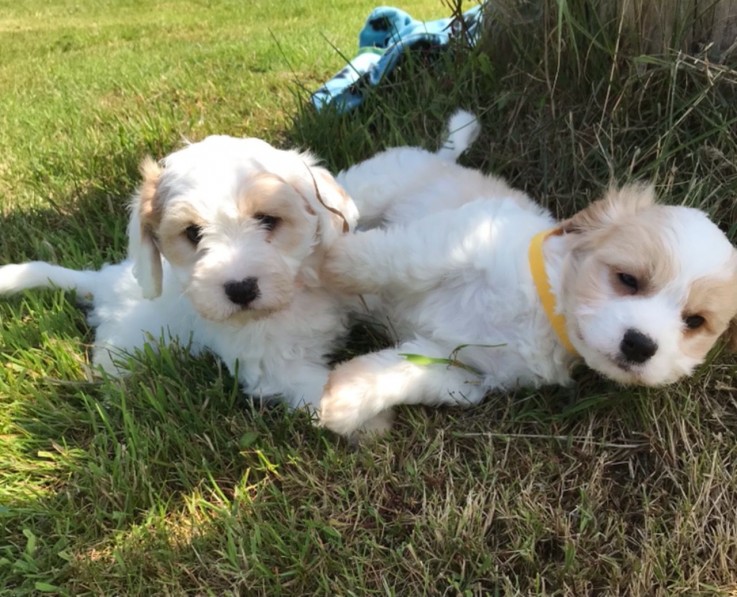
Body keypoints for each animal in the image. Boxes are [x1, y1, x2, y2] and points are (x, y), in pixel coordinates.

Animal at [0, 134, 356, 410]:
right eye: (193, 233)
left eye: (267, 219)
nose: (240, 289)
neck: (292, 300)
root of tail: (103, 282)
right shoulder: (273, 367)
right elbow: (321, 387)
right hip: (124, 347)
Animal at [320, 109, 736, 434]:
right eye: (628, 280)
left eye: (694, 322)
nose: (640, 344)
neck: (546, 311)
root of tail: (443, 159)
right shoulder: (464, 237)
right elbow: (401, 260)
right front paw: (336, 258)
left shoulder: (466, 369)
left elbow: (408, 372)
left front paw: (347, 399)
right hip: (376, 184)